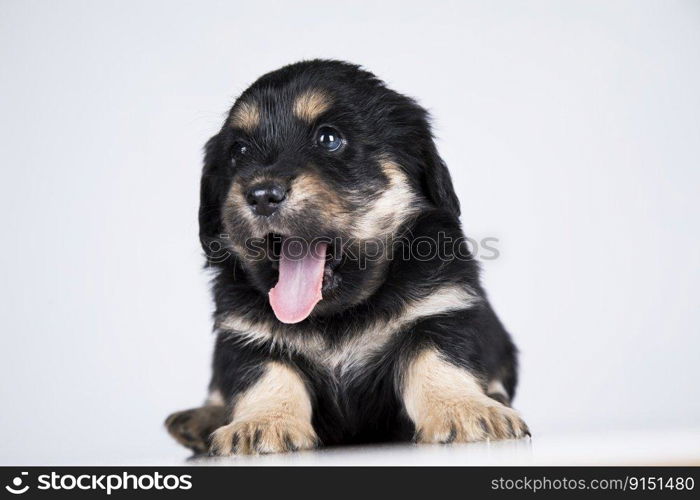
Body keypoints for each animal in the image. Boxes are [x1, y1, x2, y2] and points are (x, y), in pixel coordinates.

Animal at [164, 60, 528, 456]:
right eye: (240, 150)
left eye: (329, 139)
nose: (261, 195)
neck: (337, 315)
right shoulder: (245, 334)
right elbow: (265, 374)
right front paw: (261, 423)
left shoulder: (442, 307)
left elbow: (438, 361)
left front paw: (465, 409)